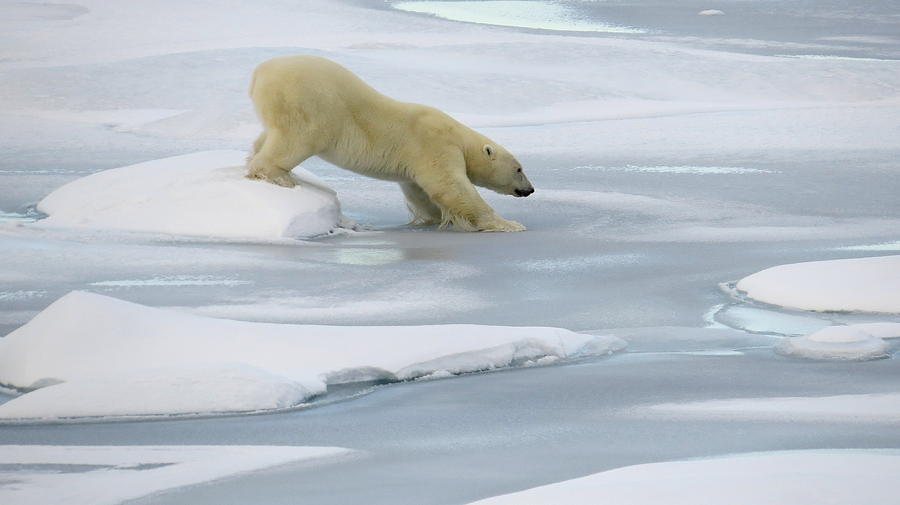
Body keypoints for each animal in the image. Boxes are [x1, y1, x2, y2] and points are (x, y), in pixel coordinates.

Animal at [244, 55, 536, 232]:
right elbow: (451, 186)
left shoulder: (416, 164)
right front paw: (509, 224)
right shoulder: (436, 144)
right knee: (296, 139)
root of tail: (261, 71)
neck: (460, 138)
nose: (530, 189)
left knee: (269, 135)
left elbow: (421, 192)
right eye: (519, 169)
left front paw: (434, 218)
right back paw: (278, 176)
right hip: (311, 104)